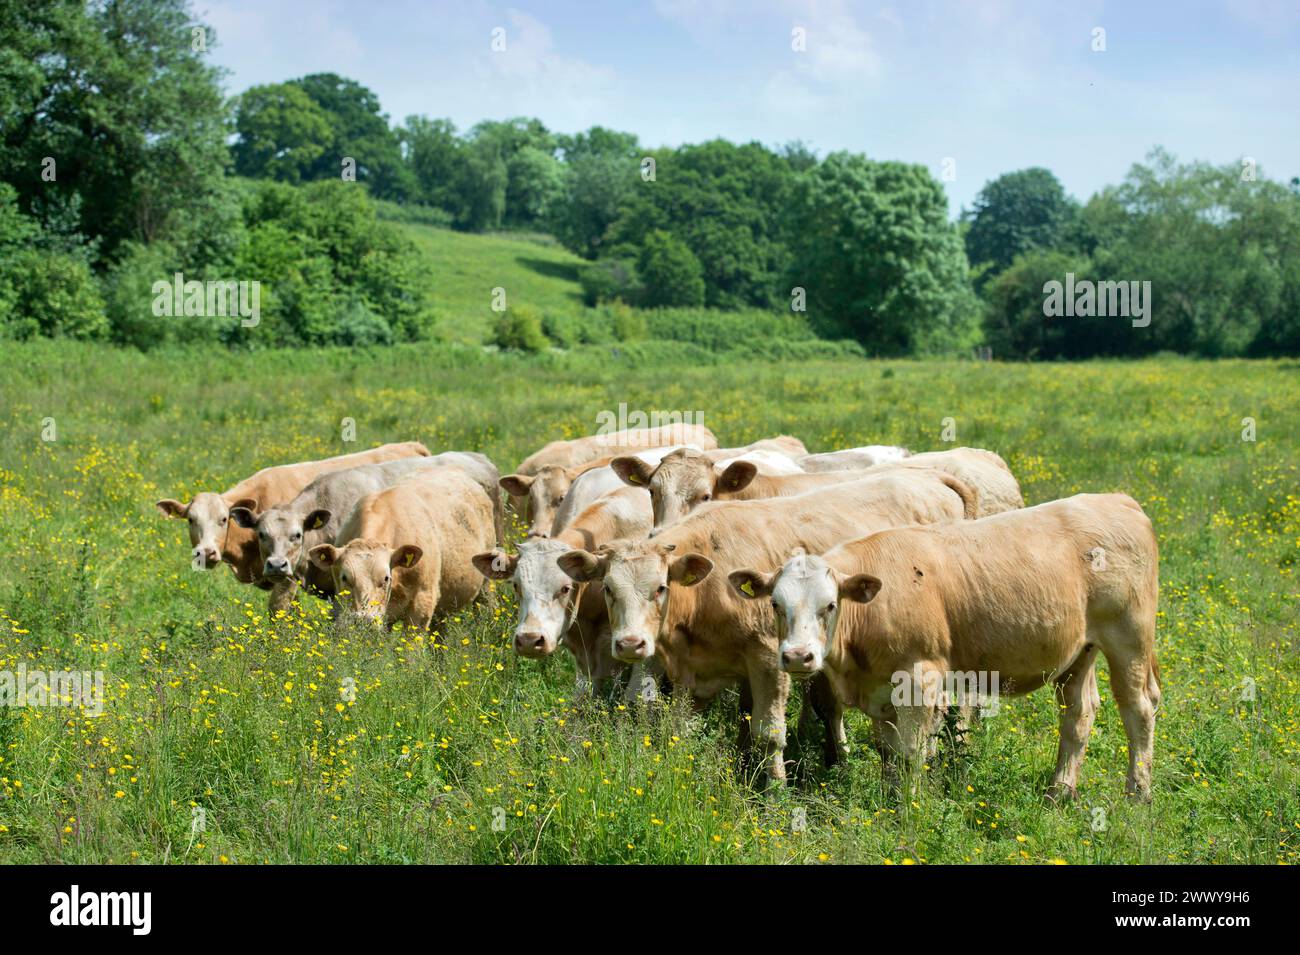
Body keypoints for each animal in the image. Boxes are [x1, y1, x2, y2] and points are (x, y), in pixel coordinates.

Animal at [556, 470, 977, 784]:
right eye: (608, 588)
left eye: (660, 587)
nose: (630, 645)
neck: (711, 583)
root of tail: (932, 478)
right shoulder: (691, 672)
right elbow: (683, 729)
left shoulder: (768, 659)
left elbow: (769, 733)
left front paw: (774, 792)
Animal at [728, 493, 1164, 800]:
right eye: (775, 604)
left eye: (830, 604)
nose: (798, 656)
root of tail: (1116, 499)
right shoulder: (880, 691)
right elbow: (888, 752)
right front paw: (889, 799)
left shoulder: (920, 679)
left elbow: (912, 753)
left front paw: (910, 808)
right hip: (1079, 652)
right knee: (1078, 714)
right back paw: (1059, 791)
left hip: (1129, 639)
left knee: (1138, 711)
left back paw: (1138, 794)